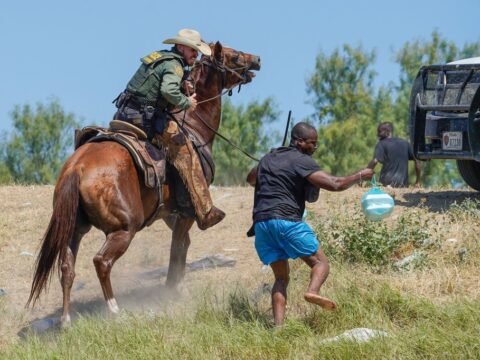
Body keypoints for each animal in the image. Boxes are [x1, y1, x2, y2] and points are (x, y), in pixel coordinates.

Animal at [28, 41, 260, 326]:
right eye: (234, 55)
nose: (257, 60)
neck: (194, 124)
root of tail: (77, 168)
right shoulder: (187, 212)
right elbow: (177, 249)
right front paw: (171, 291)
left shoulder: (169, 213)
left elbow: (182, 247)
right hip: (124, 229)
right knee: (101, 261)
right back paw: (114, 309)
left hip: (75, 228)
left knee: (66, 267)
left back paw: (66, 320)